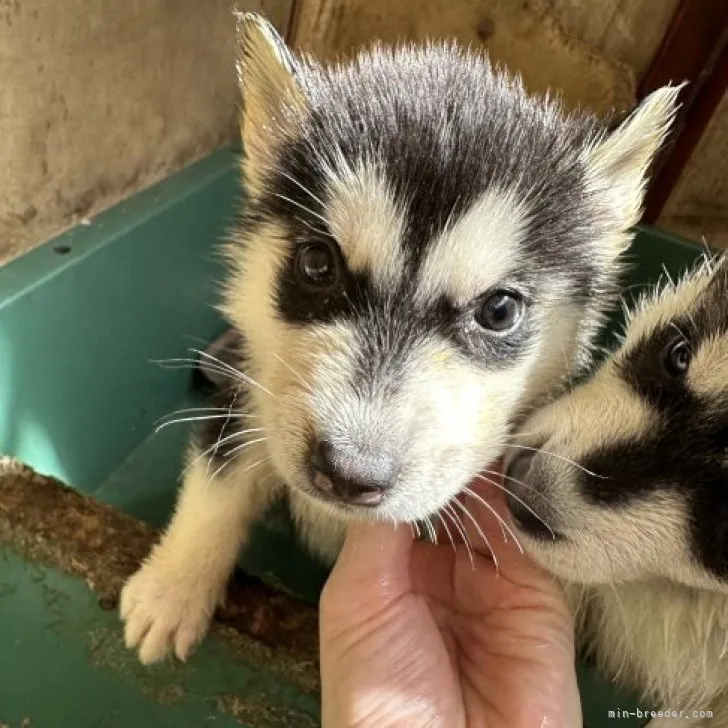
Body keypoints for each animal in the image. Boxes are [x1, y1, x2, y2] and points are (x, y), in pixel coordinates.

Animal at [121, 11, 684, 664]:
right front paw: (173, 587)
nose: (347, 473)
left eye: (498, 310)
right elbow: (221, 480)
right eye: (317, 264)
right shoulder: (253, 388)